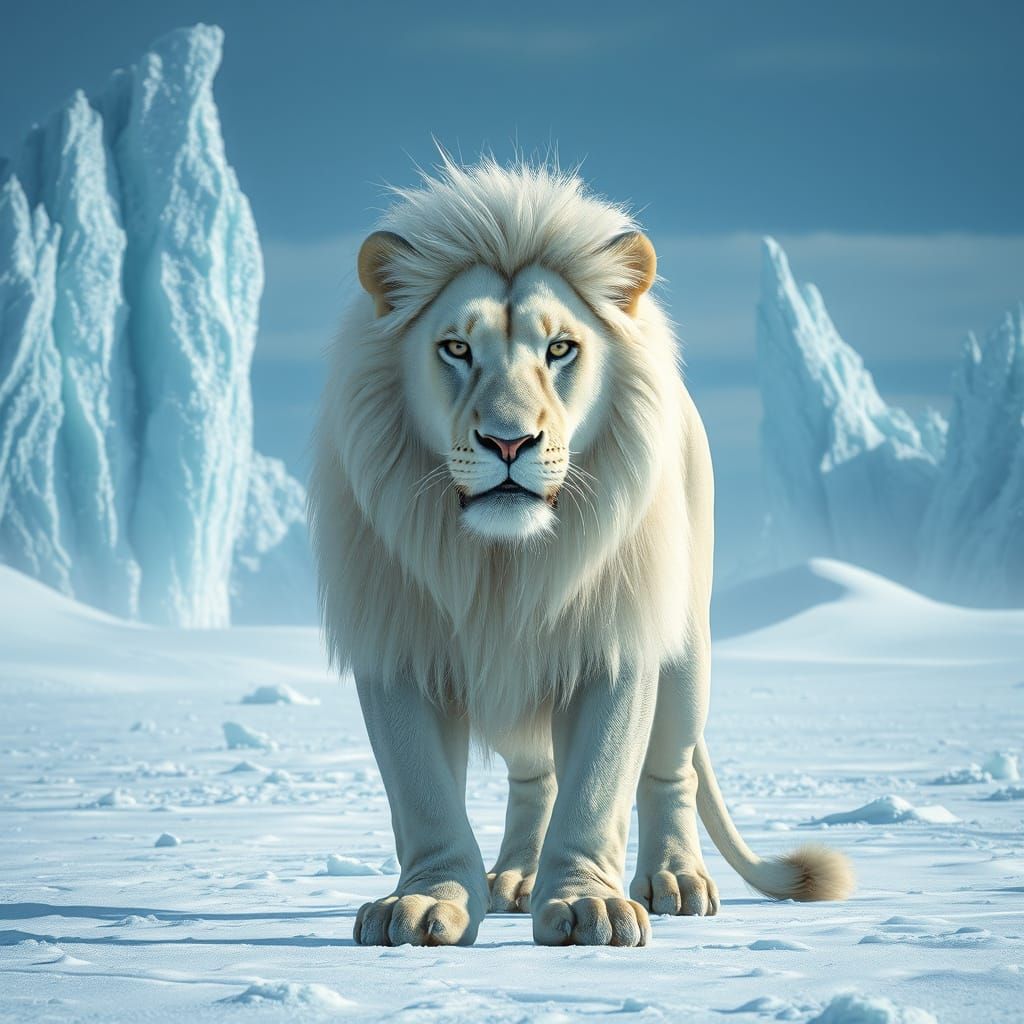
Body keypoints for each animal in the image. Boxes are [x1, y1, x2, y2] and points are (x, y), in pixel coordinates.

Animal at [308, 156, 854, 948]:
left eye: (559, 348)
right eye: (456, 347)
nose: (509, 442)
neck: (504, 567)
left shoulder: (613, 640)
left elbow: (599, 784)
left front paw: (588, 906)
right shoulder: (397, 642)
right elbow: (423, 794)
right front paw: (424, 904)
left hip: (687, 648)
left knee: (672, 770)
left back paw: (676, 882)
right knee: (533, 777)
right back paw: (512, 879)